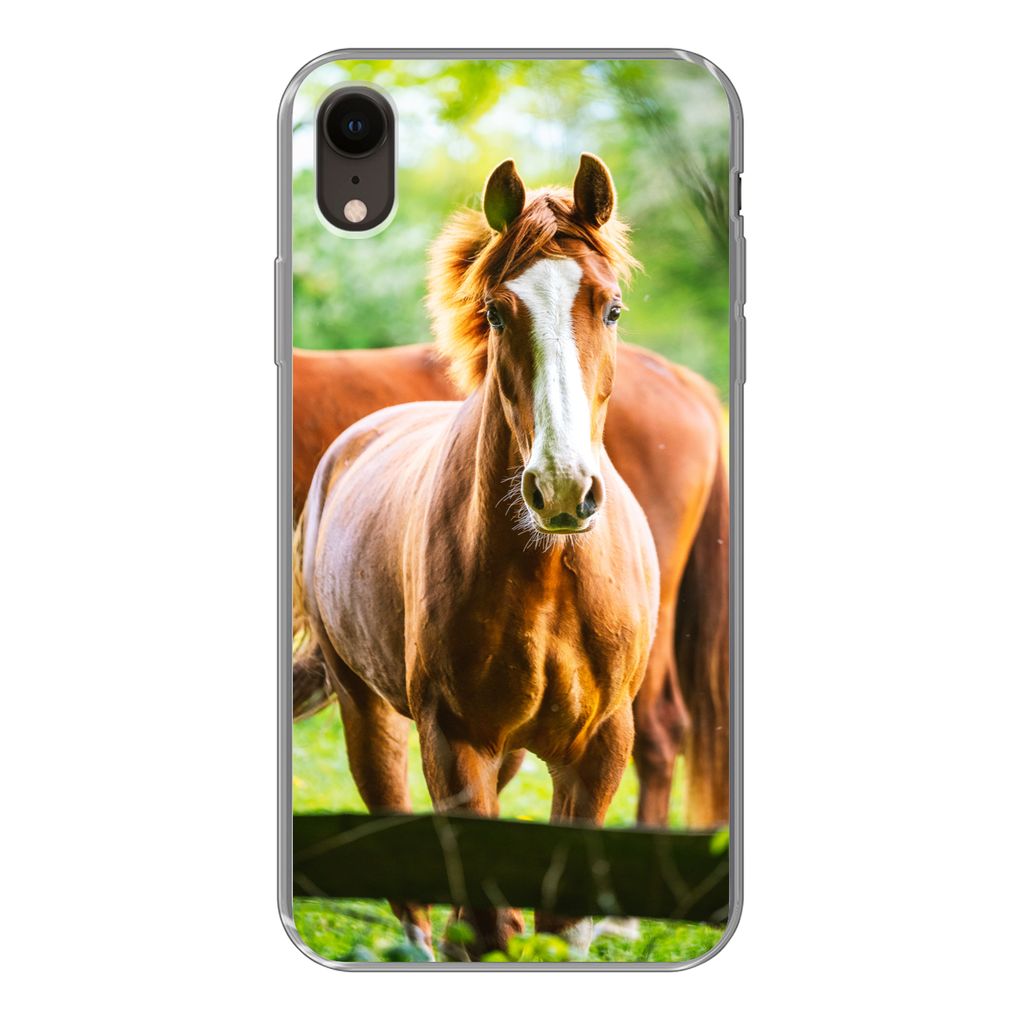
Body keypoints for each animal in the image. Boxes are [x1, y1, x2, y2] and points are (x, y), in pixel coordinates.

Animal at [294, 154, 663, 959]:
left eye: (611, 309)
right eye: (497, 311)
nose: (562, 488)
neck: (550, 574)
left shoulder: (598, 746)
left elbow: (558, 924)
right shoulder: (454, 737)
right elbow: (489, 920)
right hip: (370, 715)